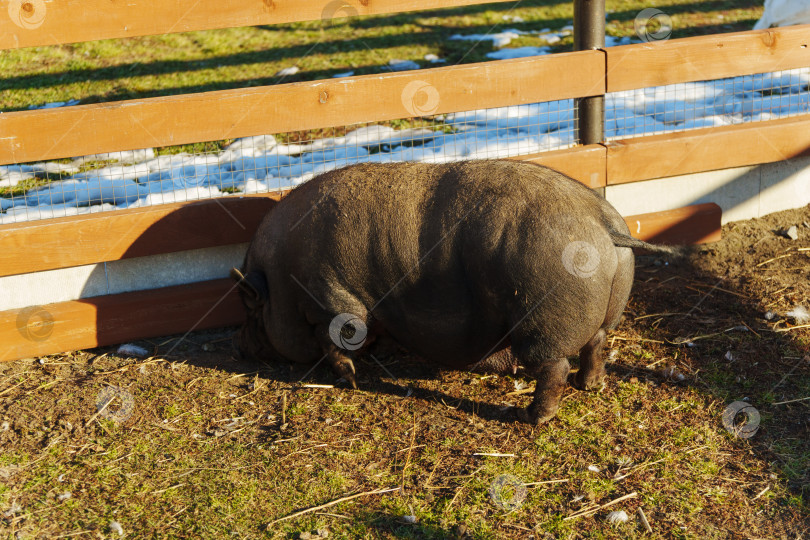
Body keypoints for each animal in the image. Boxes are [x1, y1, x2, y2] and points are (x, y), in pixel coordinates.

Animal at [231, 160, 670, 424]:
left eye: (251, 308)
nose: (242, 348)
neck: (282, 277)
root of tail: (601, 222)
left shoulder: (334, 301)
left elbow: (336, 343)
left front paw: (348, 381)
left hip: (542, 321)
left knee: (554, 367)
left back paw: (533, 417)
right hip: (608, 311)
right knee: (597, 342)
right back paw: (589, 386)